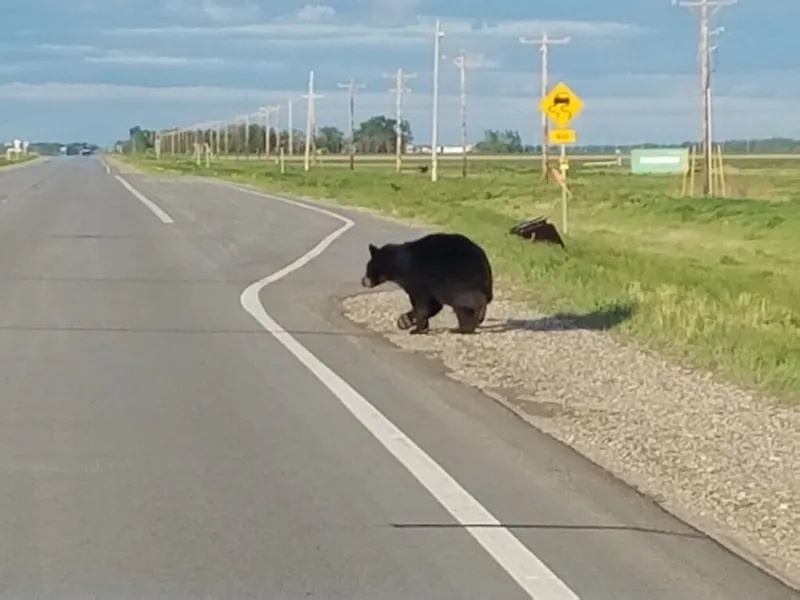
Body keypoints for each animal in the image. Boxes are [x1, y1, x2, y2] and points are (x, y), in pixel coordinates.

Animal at [360, 232, 494, 335]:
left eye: (367, 267)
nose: (363, 281)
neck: (398, 266)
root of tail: (484, 261)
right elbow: (433, 305)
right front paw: (405, 321)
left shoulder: (418, 279)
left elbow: (423, 304)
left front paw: (417, 329)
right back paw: (465, 327)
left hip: (457, 280)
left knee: (468, 302)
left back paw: (471, 322)